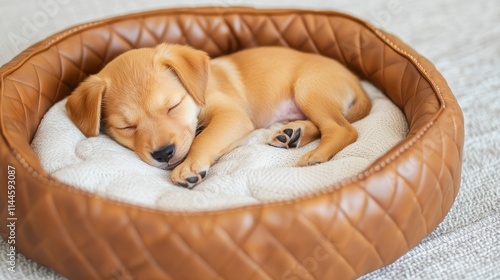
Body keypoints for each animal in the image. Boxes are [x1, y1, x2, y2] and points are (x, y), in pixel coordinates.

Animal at [66, 43, 372, 188]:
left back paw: (315, 154)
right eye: (126, 127)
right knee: (329, 124)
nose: (164, 153)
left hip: (309, 89)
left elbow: (204, 139)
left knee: (343, 128)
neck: (200, 89)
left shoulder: (231, 114)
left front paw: (189, 166)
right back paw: (291, 134)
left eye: (173, 106)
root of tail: (355, 81)